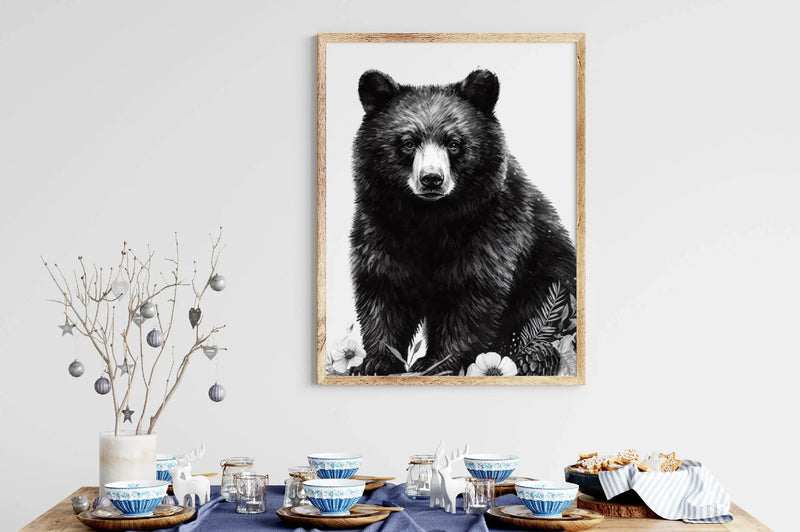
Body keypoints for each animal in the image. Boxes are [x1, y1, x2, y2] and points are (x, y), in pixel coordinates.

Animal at [349, 69, 576, 376]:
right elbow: (383, 287)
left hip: (549, 277)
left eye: (454, 144)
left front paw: (437, 361)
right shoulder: (381, 226)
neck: (430, 217)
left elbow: (472, 294)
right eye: (408, 143)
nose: (431, 179)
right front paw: (376, 361)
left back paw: (535, 357)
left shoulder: (493, 229)